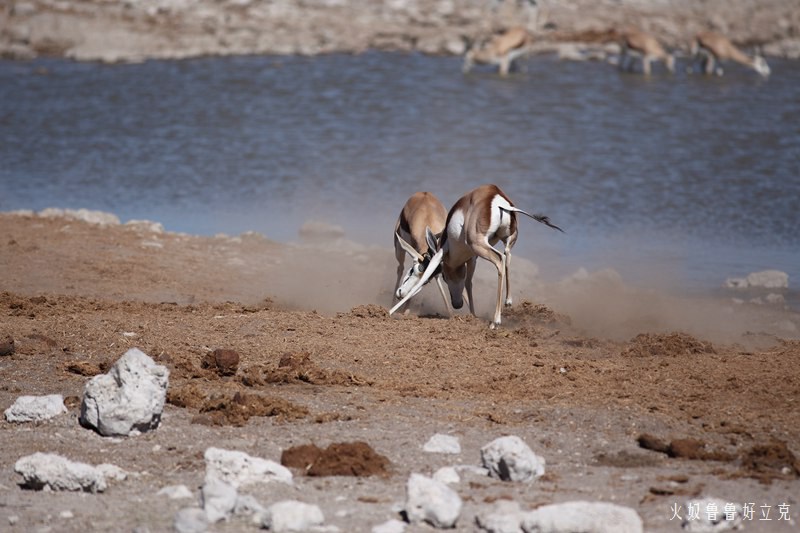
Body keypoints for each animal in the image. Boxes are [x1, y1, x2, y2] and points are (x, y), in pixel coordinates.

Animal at [390, 185, 564, 330]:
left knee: (500, 259)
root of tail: (497, 197)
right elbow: (468, 283)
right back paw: (508, 302)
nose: (457, 304)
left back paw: (495, 322)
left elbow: (427, 275)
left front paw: (392, 312)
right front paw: (473, 315)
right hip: (506, 240)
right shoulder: (472, 258)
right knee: (507, 255)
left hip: (479, 245)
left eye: (412, 271)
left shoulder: (440, 255)